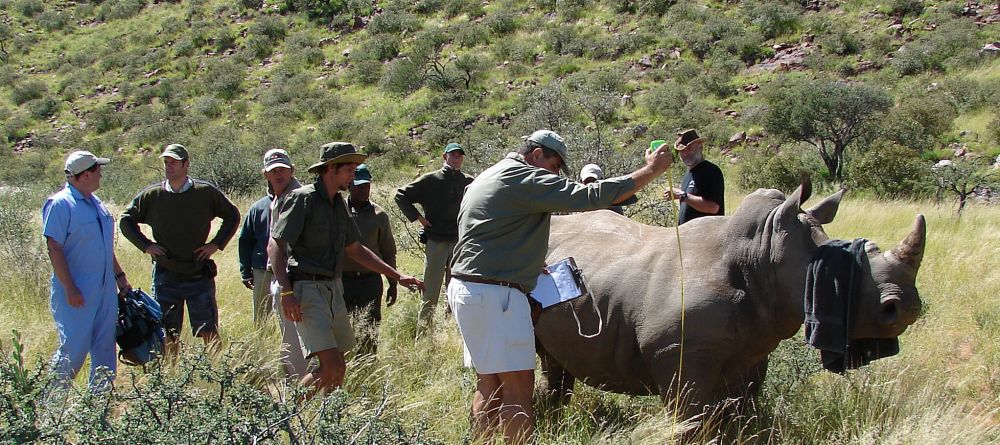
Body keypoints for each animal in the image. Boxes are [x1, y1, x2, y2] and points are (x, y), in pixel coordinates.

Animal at [535, 181, 925, 414]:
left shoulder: (753, 348)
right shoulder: (680, 351)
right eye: (841, 275)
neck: (761, 252)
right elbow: (689, 420)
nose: (906, 308)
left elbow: (741, 412)